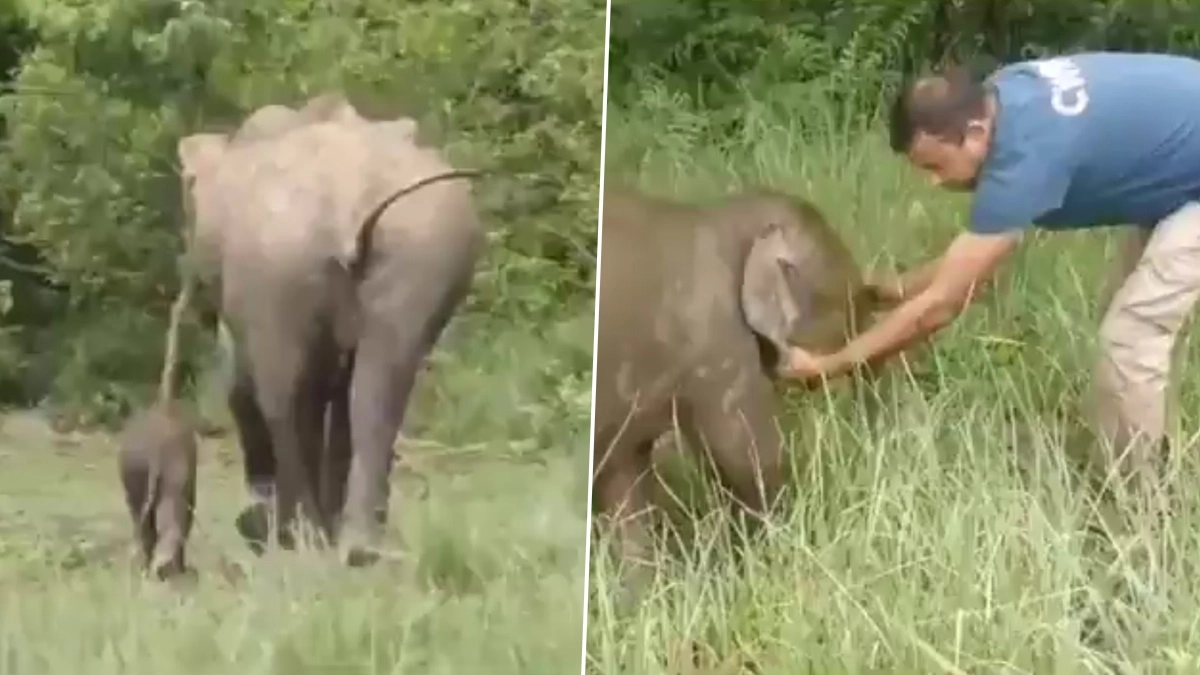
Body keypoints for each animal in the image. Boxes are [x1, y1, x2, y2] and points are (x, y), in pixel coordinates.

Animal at [167, 92, 485, 564]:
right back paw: (359, 545)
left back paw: (305, 535)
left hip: (275, 263)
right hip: (422, 246)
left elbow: (246, 385)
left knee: (282, 391)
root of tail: (348, 196)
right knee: (379, 383)